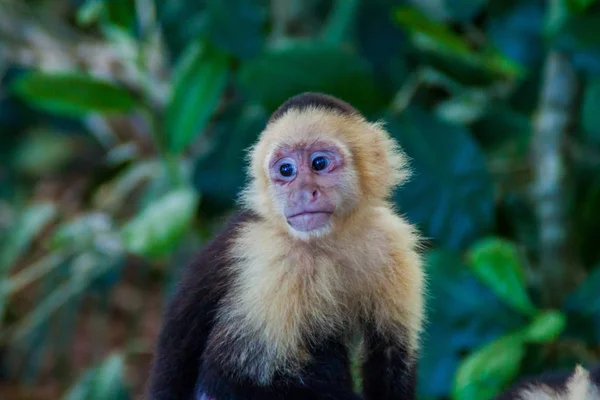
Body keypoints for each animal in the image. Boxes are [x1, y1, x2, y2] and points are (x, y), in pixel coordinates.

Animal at [145, 92, 426, 398]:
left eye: (319, 163)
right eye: (286, 170)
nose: (302, 192)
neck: (330, 241)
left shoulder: (392, 242)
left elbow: (390, 355)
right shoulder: (275, 258)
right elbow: (225, 377)